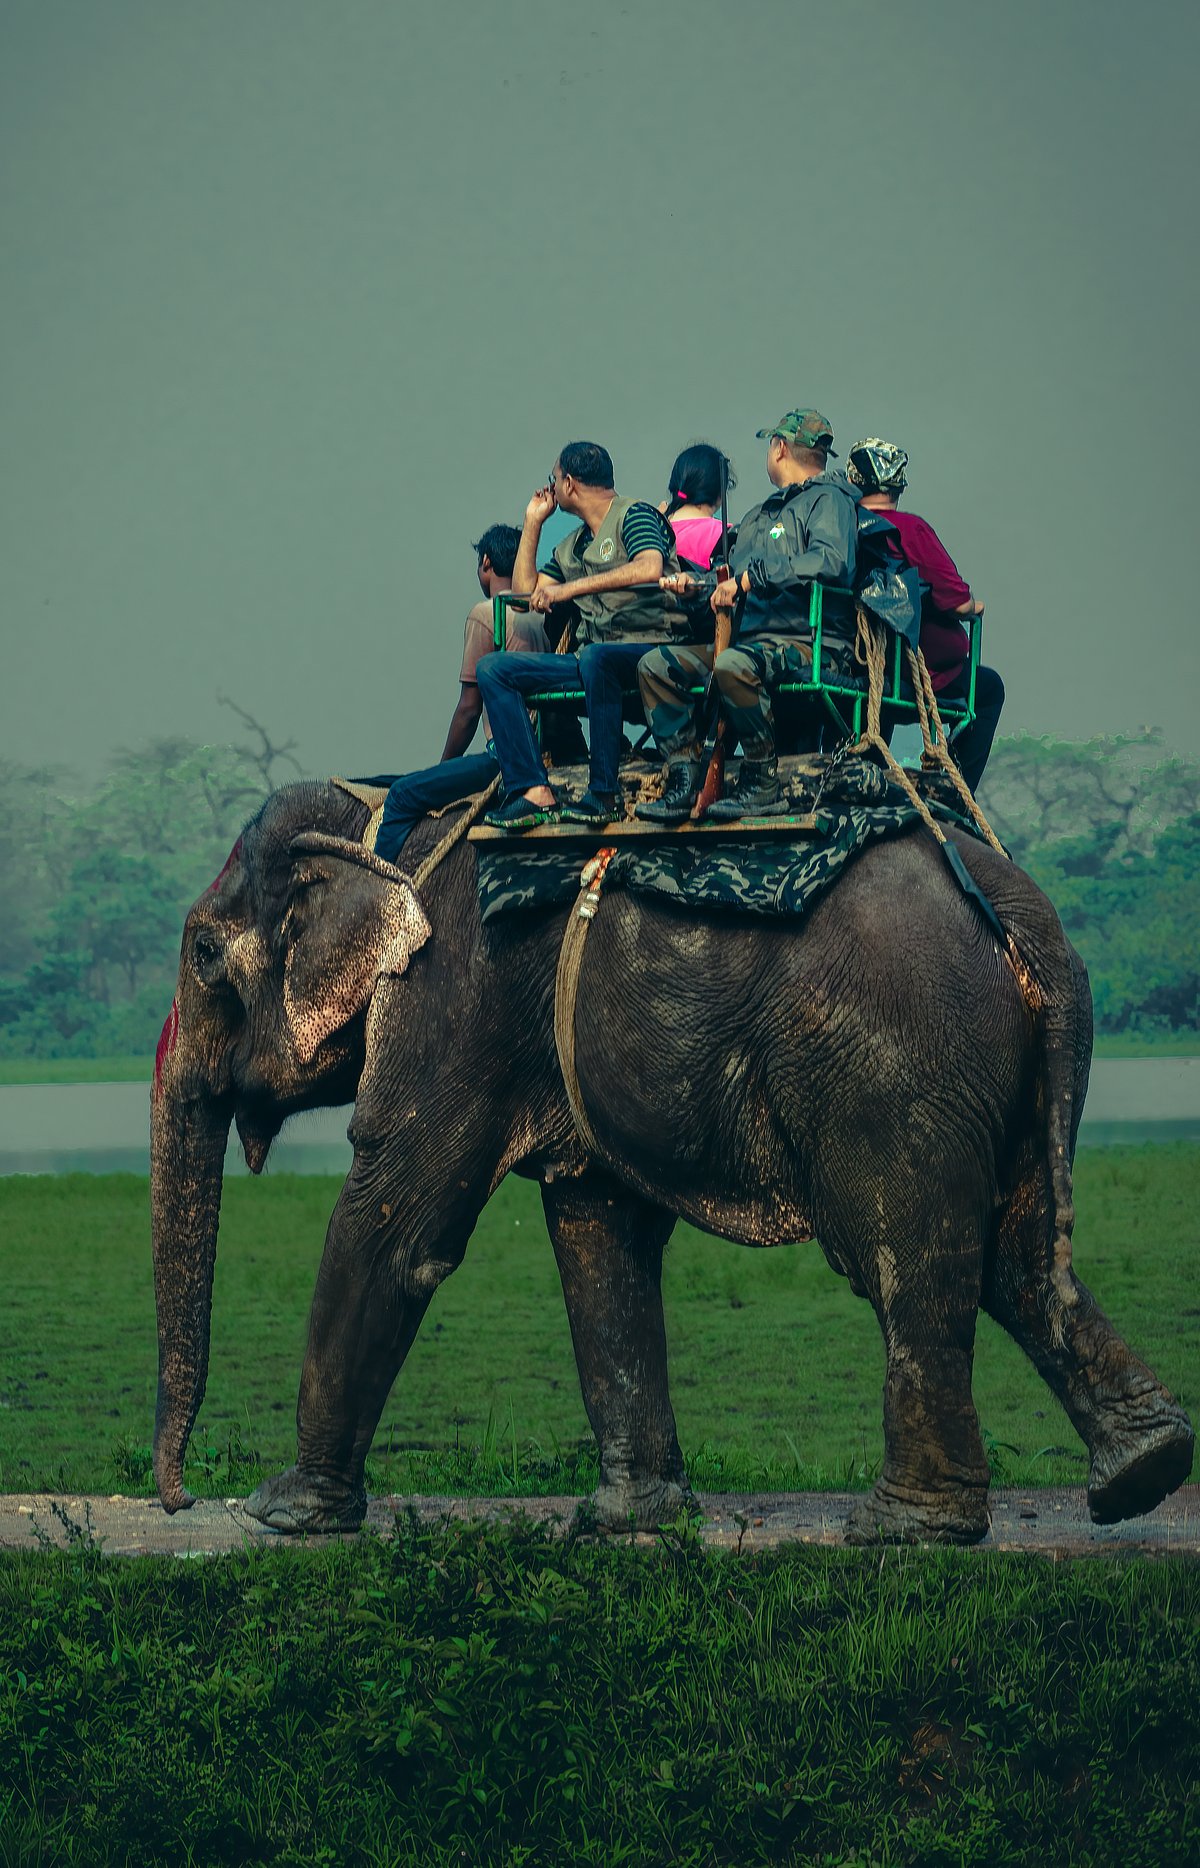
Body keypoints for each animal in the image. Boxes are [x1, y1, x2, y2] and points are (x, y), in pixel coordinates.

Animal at [150, 777, 1194, 1544]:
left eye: (202, 951)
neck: (383, 816)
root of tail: (1018, 905)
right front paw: (628, 1522)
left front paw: (284, 1514)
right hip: (1012, 1060)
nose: (181, 1499)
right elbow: (598, 1227)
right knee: (1018, 1256)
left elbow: (400, 1224)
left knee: (912, 1261)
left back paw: (903, 1530)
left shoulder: (454, 991)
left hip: (896, 1060)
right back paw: (1142, 1474)